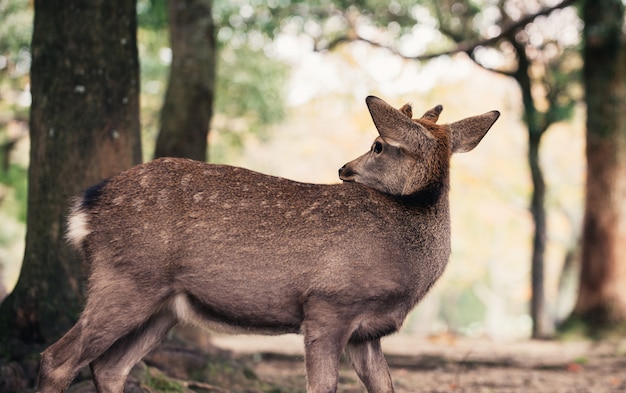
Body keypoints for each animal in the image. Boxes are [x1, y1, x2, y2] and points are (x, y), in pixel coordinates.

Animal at [37, 95, 498, 392]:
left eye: (378, 146)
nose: (344, 169)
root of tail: (87, 206)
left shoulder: (367, 332)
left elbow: (385, 387)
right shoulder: (328, 304)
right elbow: (322, 386)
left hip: (163, 305)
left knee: (108, 367)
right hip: (127, 277)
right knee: (56, 359)